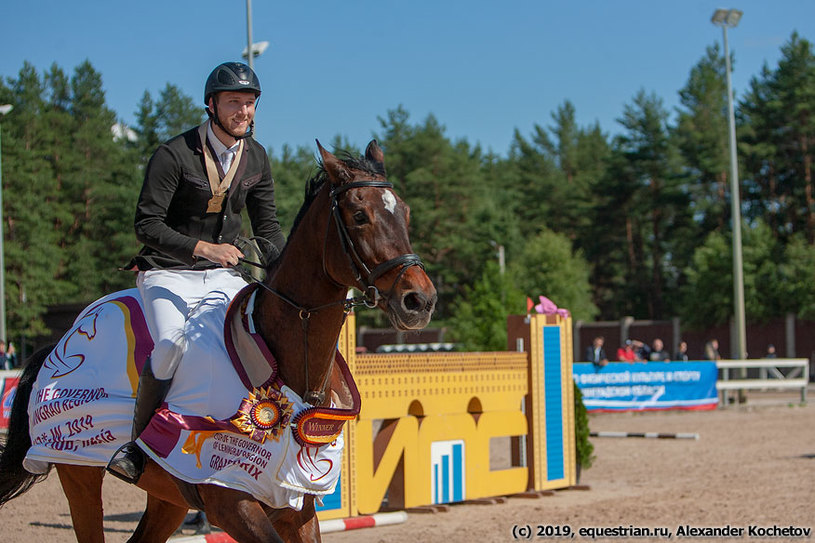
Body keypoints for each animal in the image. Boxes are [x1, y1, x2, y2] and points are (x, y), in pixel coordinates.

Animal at [0, 141, 440, 543]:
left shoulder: (296, 509)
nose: (420, 300)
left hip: (168, 498)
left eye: (405, 213)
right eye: (360, 216)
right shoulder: (232, 503)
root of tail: (61, 343)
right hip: (78, 474)